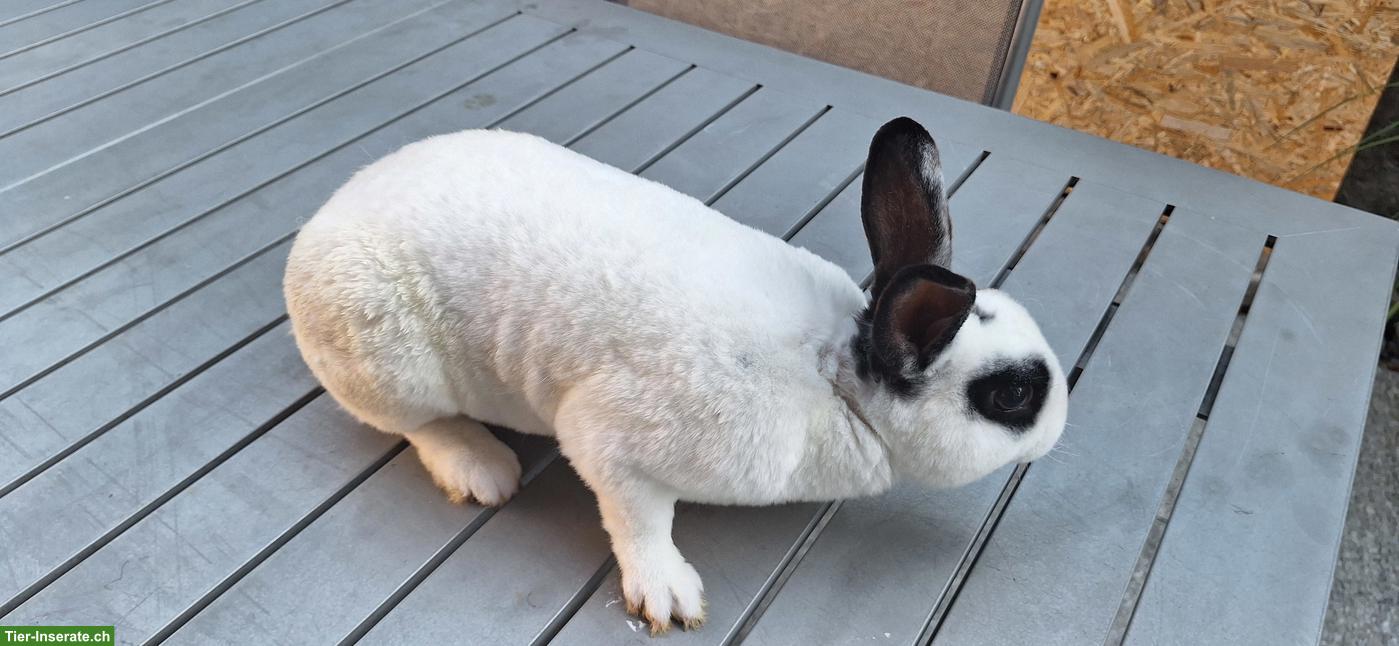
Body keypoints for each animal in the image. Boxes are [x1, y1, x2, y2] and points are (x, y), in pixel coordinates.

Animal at [284, 116, 1068, 635]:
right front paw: (668, 596)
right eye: (1011, 394)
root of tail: (321, 222)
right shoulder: (611, 444)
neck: (835, 378)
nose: (1061, 424)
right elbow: (640, 521)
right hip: (385, 356)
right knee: (419, 424)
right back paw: (480, 468)